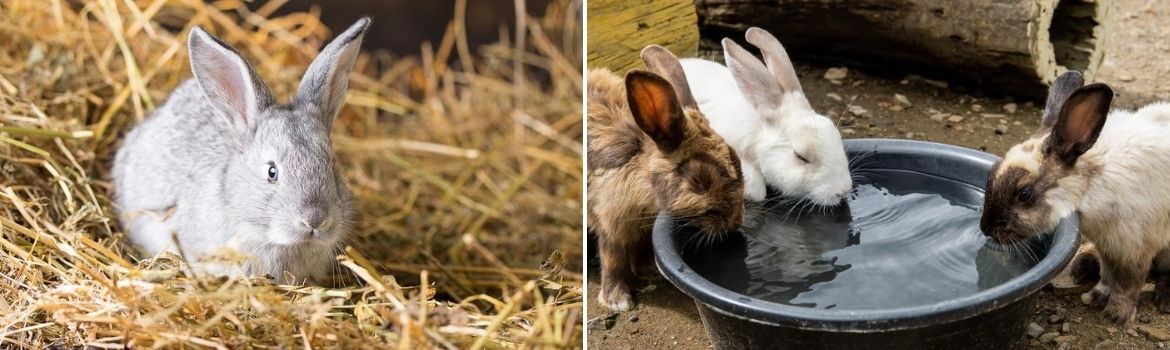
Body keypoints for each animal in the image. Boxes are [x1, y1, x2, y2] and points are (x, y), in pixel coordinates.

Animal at [589, 45, 744, 311]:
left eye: (737, 160)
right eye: (698, 180)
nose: (735, 222)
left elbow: (642, 249)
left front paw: (650, 270)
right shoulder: (610, 221)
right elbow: (613, 259)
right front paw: (617, 301)